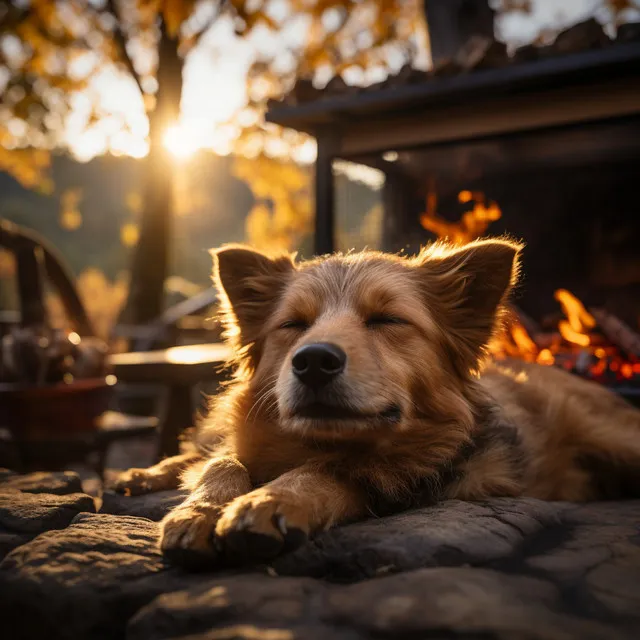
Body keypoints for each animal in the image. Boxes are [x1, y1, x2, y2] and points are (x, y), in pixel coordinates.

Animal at [112, 238, 640, 568]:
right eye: (293, 325)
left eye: (387, 320)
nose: (314, 362)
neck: (315, 442)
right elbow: (223, 463)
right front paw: (198, 511)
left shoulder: (409, 473)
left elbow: (332, 470)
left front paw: (271, 499)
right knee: (197, 449)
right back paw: (143, 475)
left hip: (611, 436)